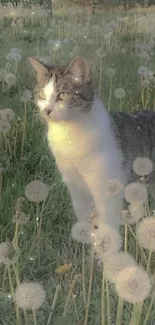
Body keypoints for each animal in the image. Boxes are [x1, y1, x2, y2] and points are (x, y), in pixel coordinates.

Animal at [28, 55, 155, 230]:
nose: (46, 110)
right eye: (41, 95)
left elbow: (107, 224)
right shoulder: (75, 187)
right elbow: (83, 217)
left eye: (63, 96)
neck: (69, 135)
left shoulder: (106, 188)